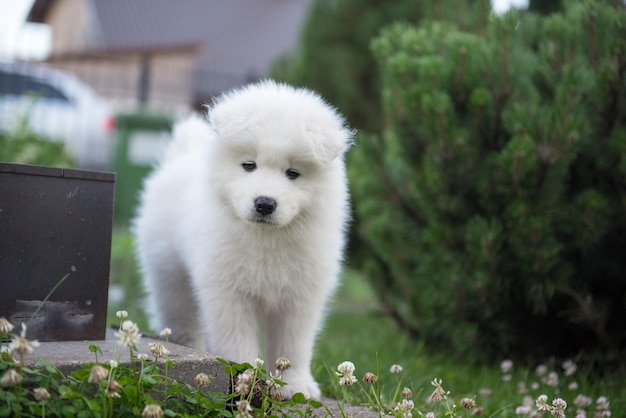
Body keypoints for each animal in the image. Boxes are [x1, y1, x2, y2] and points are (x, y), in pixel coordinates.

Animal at [133, 79, 352, 398]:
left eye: (293, 173)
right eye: (249, 165)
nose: (265, 203)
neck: (267, 239)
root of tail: (182, 156)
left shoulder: (300, 296)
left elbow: (293, 345)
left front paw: (295, 385)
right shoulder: (228, 292)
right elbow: (236, 340)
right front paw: (246, 378)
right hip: (168, 272)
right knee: (178, 315)